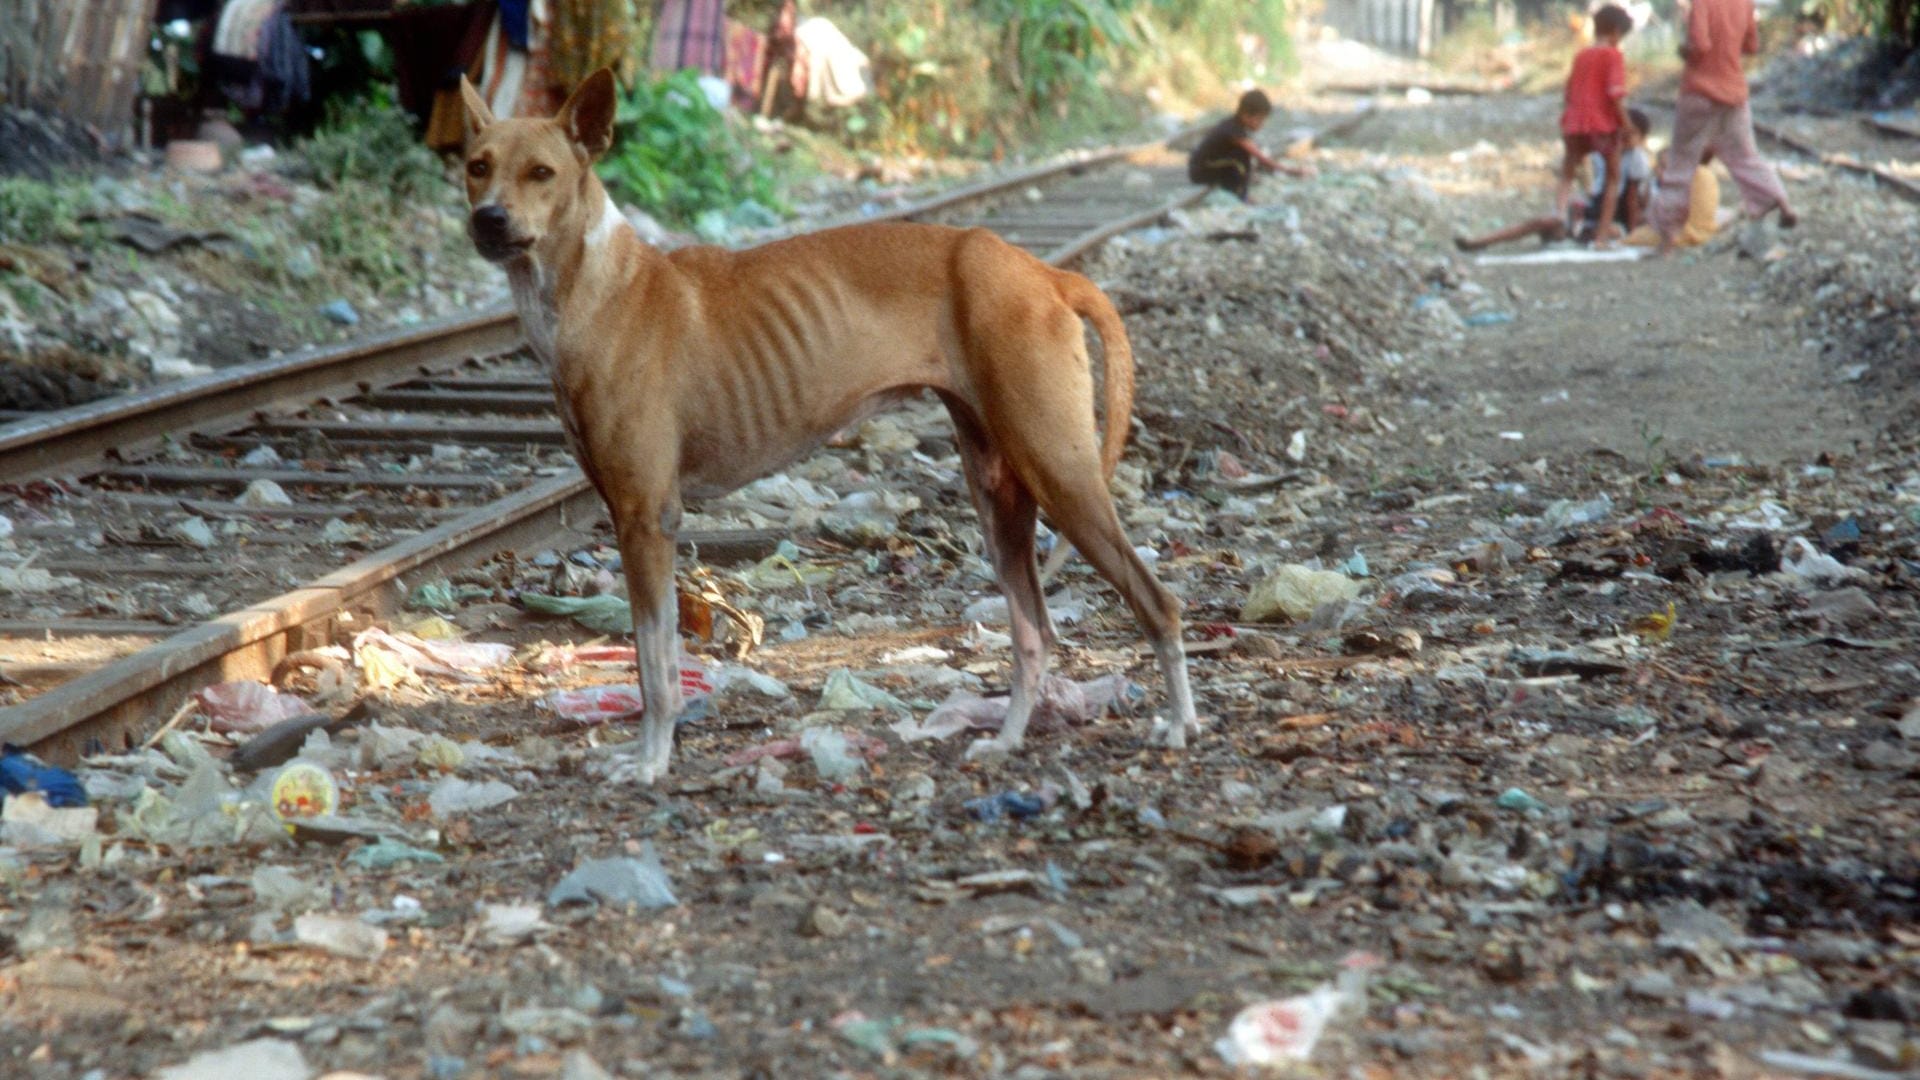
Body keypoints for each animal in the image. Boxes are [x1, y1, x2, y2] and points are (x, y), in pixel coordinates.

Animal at [456, 67, 1190, 776]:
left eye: (542, 173)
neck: (599, 289)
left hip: (1060, 473)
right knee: (1034, 632)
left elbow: (657, 668)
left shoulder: (646, 517)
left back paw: (1180, 724)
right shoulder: (630, 514)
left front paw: (649, 763)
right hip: (1001, 495)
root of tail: (1041, 271)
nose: (489, 220)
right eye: (476, 165)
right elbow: (650, 659)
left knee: (1158, 604)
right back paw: (1007, 740)